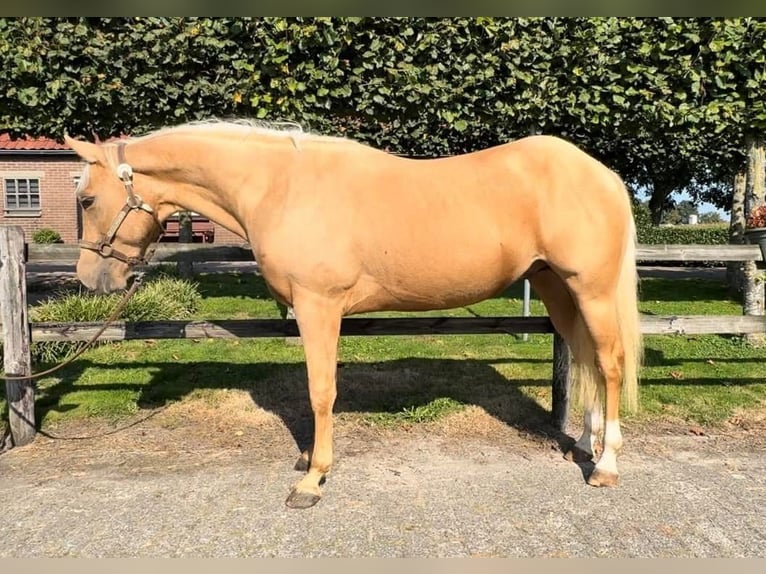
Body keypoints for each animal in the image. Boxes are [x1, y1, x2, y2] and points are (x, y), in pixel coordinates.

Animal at [64, 120, 640, 508]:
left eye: (87, 199)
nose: (90, 280)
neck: (280, 187)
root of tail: (603, 174)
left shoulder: (317, 306)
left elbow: (321, 391)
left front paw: (312, 478)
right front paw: (306, 460)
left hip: (589, 288)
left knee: (609, 363)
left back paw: (607, 465)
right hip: (554, 287)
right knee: (586, 358)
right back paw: (583, 446)